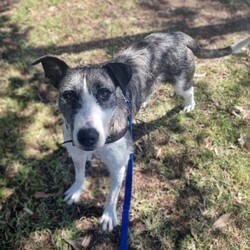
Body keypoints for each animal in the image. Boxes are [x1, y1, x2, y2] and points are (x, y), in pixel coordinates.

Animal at [33, 32, 250, 231]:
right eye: (68, 95)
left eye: (104, 93)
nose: (87, 137)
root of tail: (177, 34)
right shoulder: (76, 153)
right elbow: (79, 174)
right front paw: (77, 191)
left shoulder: (119, 167)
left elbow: (112, 195)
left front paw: (108, 216)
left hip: (181, 83)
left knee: (189, 90)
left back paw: (189, 104)